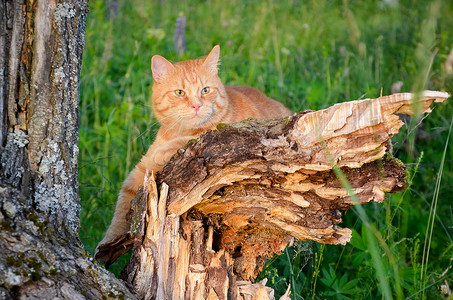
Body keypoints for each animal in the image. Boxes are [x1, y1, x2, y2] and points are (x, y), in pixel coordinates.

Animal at [97, 45, 292, 255]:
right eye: (179, 92)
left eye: (205, 90)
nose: (197, 105)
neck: (177, 131)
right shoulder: (140, 171)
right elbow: (121, 208)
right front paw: (104, 248)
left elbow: (189, 140)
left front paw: (164, 151)